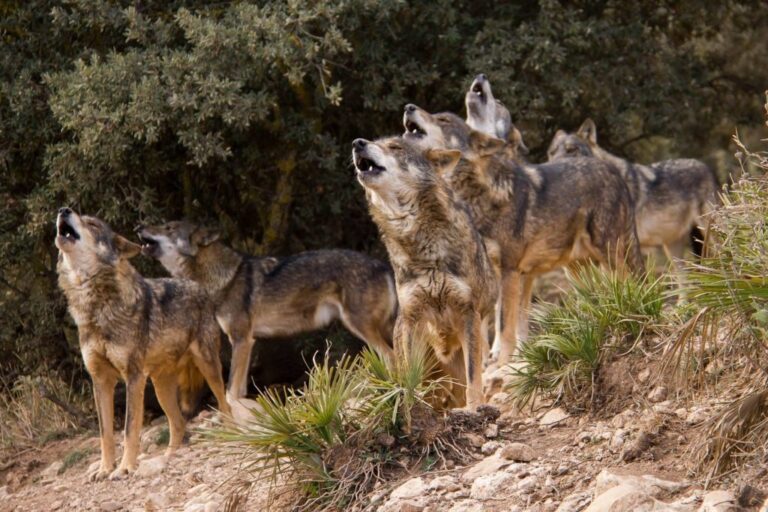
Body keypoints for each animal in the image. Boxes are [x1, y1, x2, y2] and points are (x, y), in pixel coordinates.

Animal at [55, 208, 231, 481]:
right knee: (178, 424)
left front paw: (125, 468)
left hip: (208, 367)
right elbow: (105, 434)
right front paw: (105, 469)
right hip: (160, 388)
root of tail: (197, 285)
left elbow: (129, 429)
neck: (96, 308)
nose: (64, 210)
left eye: (92, 223)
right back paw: (168, 457)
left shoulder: (133, 377)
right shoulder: (100, 381)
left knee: (225, 404)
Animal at [136, 221, 396, 399]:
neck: (223, 278)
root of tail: (384, 265)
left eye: (168, 227)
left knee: (391, 355)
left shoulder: (241, 339)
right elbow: (239, 390)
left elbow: (230, 391)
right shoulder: (248, 342)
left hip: (359, 325)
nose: (138, 226)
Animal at [352, 136, 498, 408]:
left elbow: (474, 376)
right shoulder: (413, 317)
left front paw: (475, 408)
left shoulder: (468, 313)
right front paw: (410, 405)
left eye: (395, 147)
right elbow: (411, 378)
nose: (357, 143)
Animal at [402, 106, 642, 364]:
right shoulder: (499, 275)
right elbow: (498, 324)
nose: (408, 107)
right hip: (577, 269)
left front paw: (502, 359)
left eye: (443, 119)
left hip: (608, 254)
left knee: (626, 282)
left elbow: (504, 325)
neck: (478, 198)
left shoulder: (509, 271)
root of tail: (613, 171)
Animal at [547, 119, 719, 260]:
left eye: (571, 150)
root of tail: (705, 166)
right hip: (673, 249)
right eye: (551, 153)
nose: (554, 167)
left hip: (710, 233)